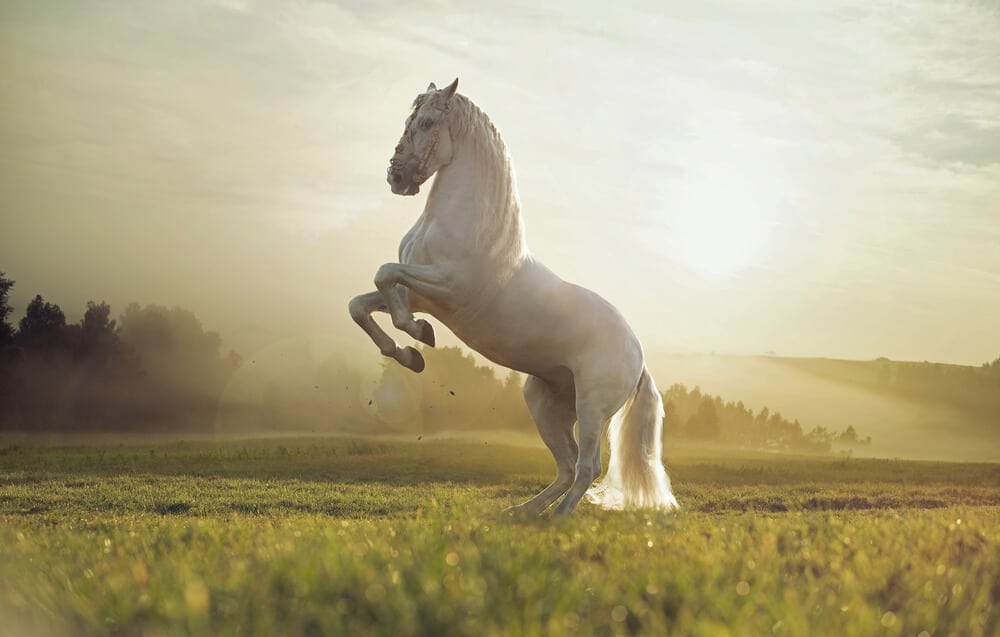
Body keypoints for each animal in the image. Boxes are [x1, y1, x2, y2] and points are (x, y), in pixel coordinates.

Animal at [348, 78, 678, 516]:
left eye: (428, 122)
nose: (396, 177)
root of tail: (637, 355)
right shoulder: (418, 294)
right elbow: (362, 303)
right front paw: (409, 354)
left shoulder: (446, 287)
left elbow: (385, 275)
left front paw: (418, 336)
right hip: (544, 403)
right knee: (567, 466)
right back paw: (521, 513)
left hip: (592, 408)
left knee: (587, 466)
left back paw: (556, 520)